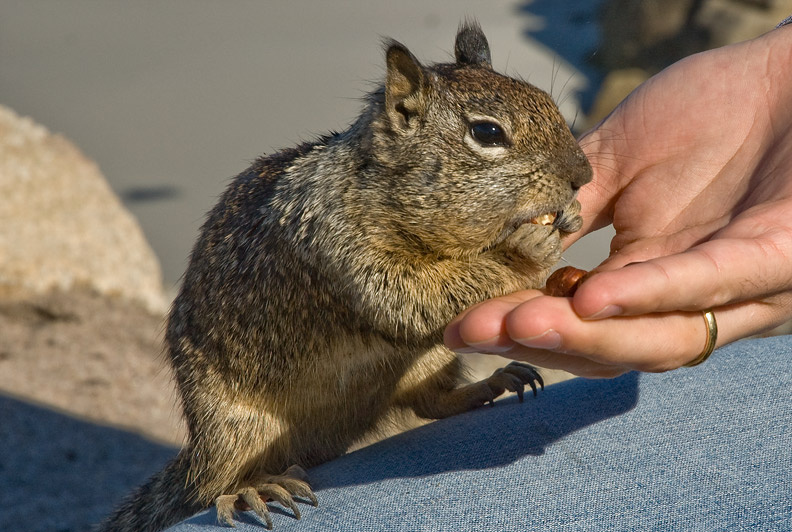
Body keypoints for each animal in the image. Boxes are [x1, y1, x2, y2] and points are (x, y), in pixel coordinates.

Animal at [97, 21, 591, 532]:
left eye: (549, 102)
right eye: (487, 132)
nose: (584, 174)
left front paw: (570, 215)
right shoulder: (342, 248)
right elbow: (412, 297)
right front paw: (523, 251)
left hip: (431, 361)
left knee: (429, 403)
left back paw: (494, 382)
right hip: (232, 428)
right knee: (211, 486)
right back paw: (253, 489)